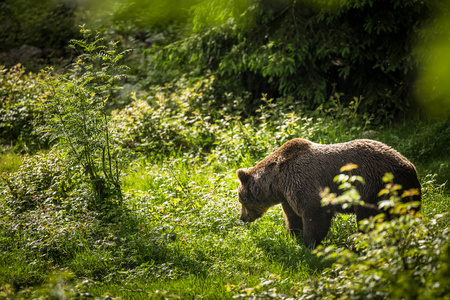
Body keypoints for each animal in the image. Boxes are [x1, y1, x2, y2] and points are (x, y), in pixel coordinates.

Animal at [236, 138, 422, 246]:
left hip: (374, 187)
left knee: (369, 219)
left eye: (241, 200)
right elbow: (292, 217)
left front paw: (310, 245)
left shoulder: (303, 181)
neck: (277, 181)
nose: (242, 217)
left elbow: (315, 214)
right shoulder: (287, 196)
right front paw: (292, 236)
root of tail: (410, 166)